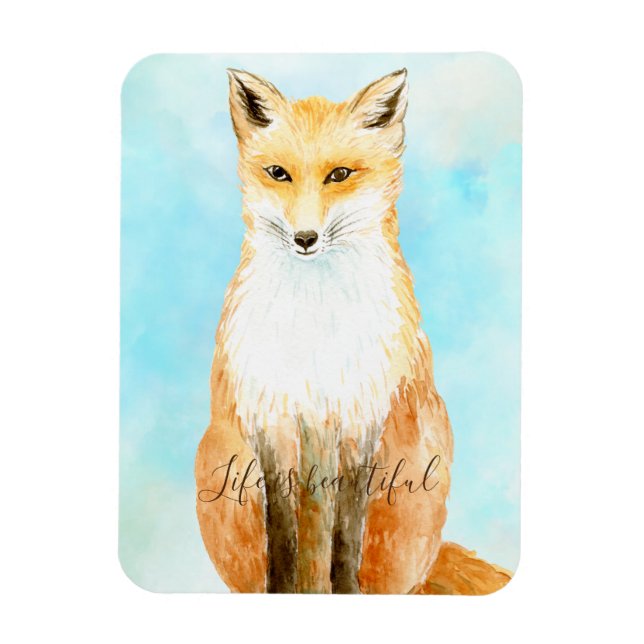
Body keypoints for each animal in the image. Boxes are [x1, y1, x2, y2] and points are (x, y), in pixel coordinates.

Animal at [195, 68, 453, 594]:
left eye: (339, 175)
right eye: (279, 173)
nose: (305, 239)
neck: (314, 331)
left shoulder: (357, 417)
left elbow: (343, 525)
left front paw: (342, 588)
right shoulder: (273, 418)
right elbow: (284, 526)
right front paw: (285, 587)